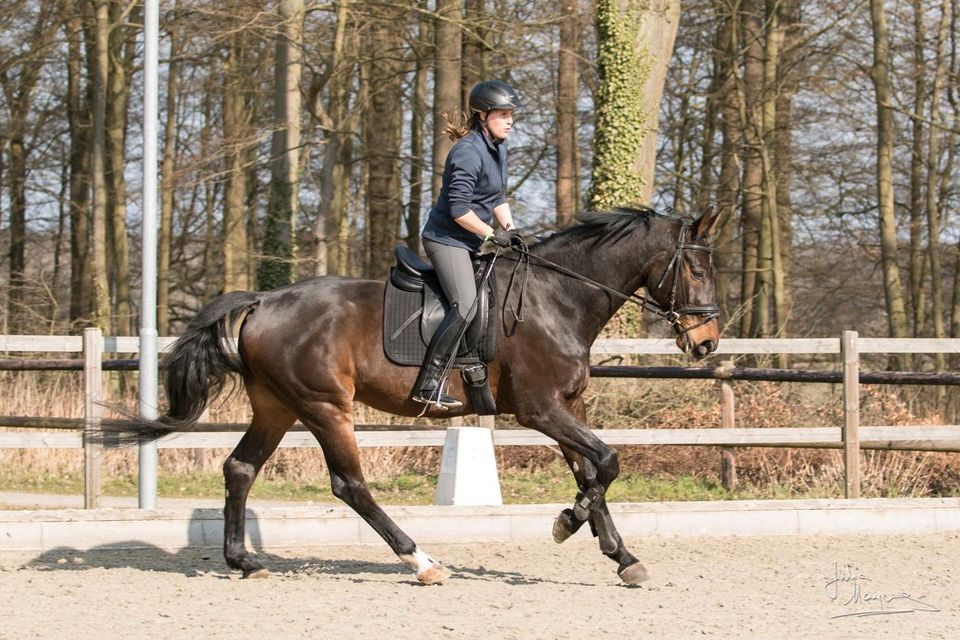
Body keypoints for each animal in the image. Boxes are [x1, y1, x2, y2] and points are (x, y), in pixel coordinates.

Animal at [114, 205, 720, 584]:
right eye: (695, 267)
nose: (707, 342)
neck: (557, 298)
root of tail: (262, 301)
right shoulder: (541, 409)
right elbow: (608, 462)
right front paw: (565, 524)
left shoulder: (569, 407)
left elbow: (593, 472)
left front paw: (622, 557)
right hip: (324, 406)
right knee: (350, 485)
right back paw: (421, 561)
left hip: (277, 406)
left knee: (240, 469)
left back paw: (243, 561)